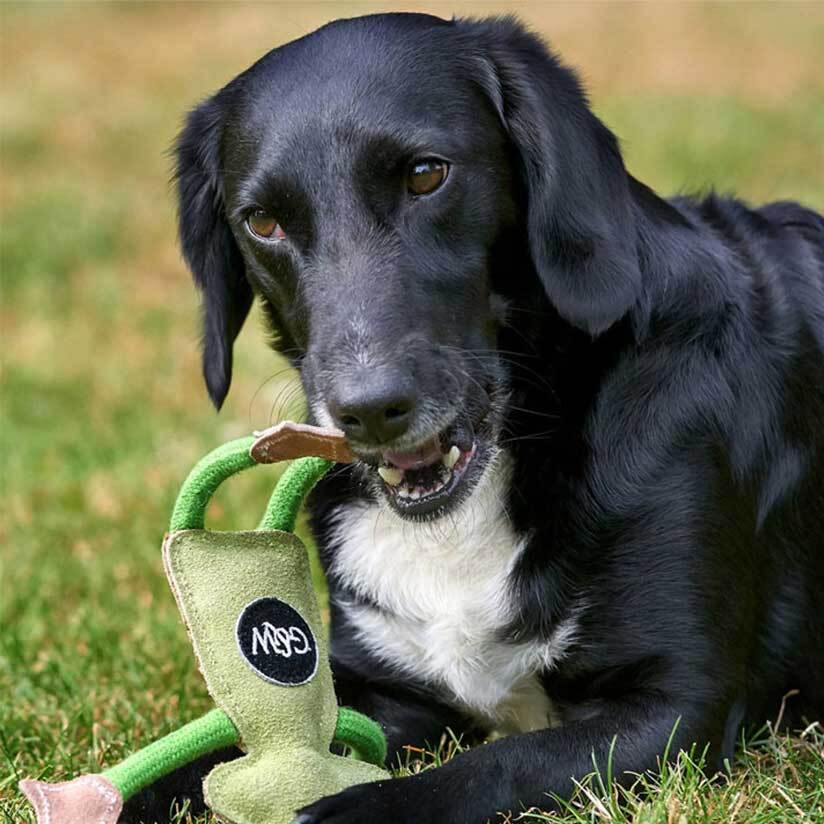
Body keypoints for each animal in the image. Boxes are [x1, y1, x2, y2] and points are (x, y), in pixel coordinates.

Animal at [122, 12, 824, 824]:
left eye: (427, 175)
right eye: (262, 221)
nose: (368, 411)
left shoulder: (676, 706)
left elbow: (497, 763)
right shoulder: (380, 689)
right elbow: (194, 764)